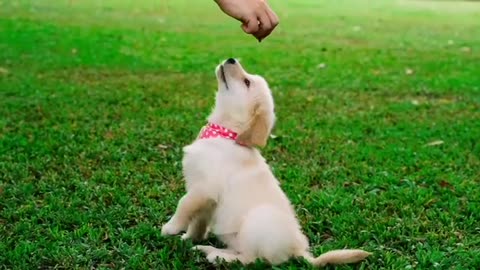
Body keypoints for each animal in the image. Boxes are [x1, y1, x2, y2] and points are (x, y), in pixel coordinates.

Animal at [161, 58, 372, 266]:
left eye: (247, 82)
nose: (231, 59)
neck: (225, 134)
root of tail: (299, 251)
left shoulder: (204, 188)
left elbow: (184, 204)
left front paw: (171, 227)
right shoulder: (207, 199)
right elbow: (198, 221)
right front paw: (190, 238)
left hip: (256, 221)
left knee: (251, 259)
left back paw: (217, 255)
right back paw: (206, 249)